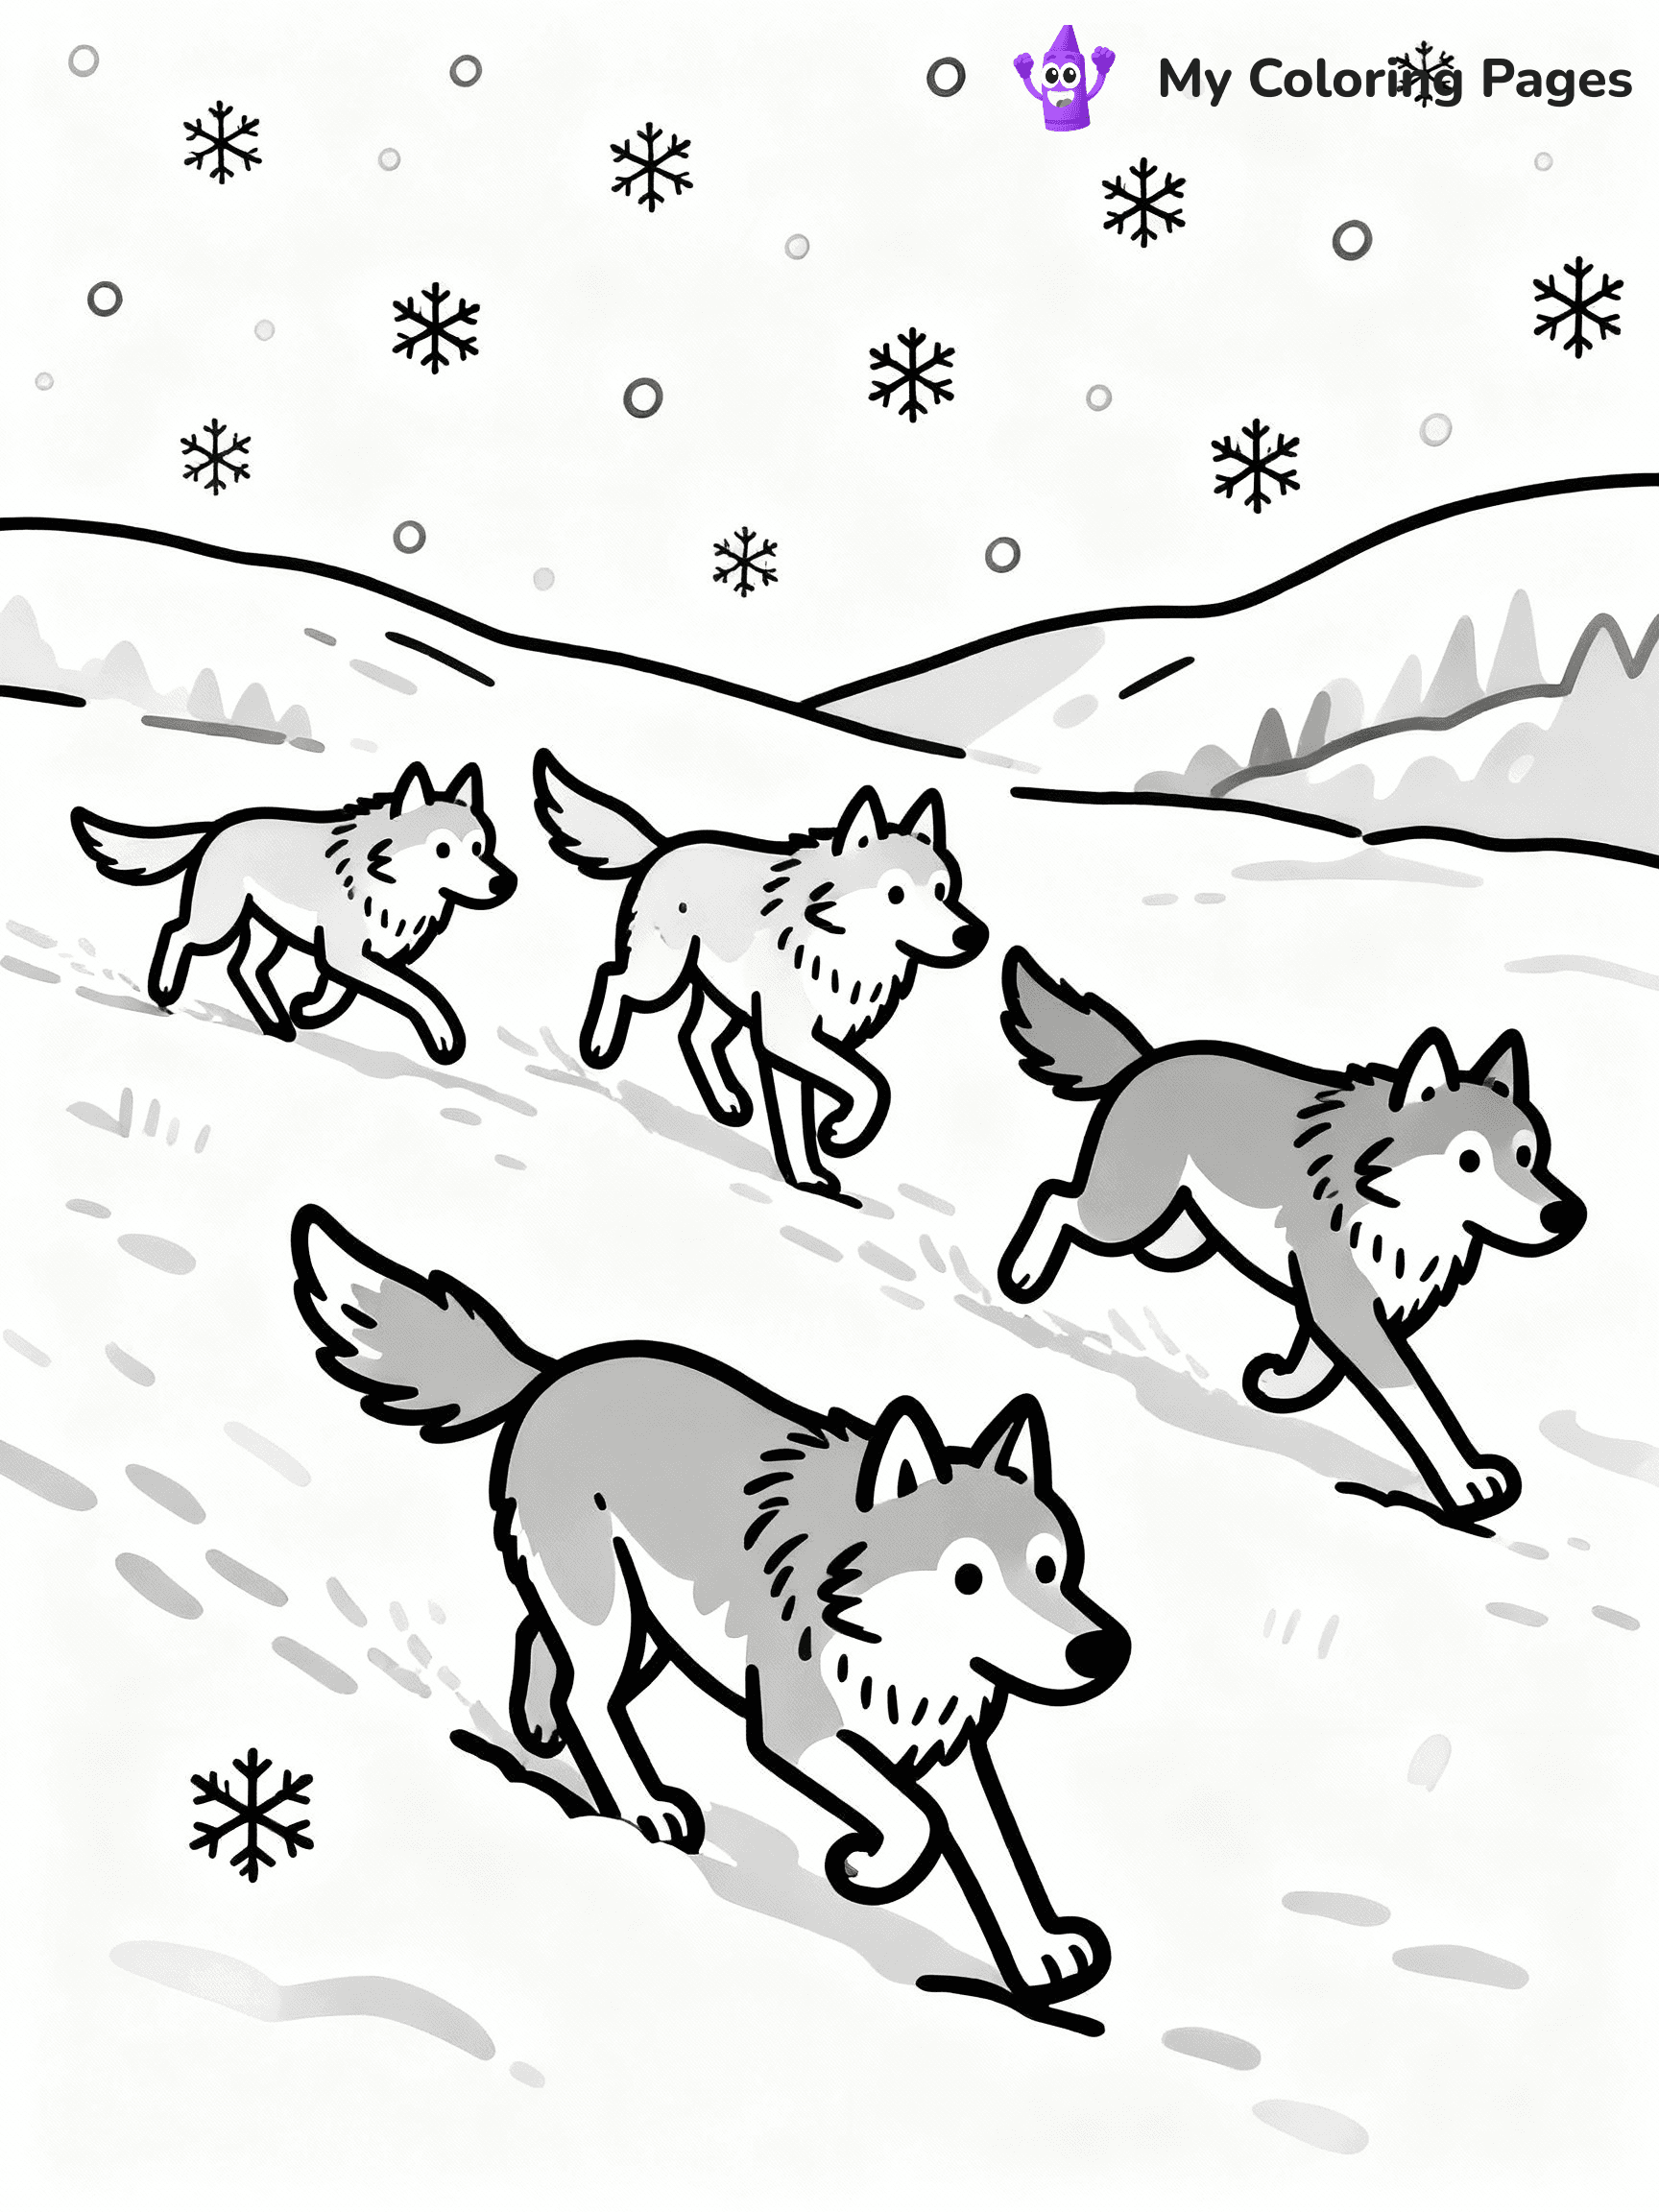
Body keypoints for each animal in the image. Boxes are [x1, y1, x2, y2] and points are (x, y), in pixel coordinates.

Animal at [71, 763, 515, 1065]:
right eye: (442, 849)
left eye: (479, 848)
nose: (503, 884)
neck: (388, 884)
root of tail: (219, 825)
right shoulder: (347, 953)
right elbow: (415, 992)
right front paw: (444, 1038)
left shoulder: (352, 954)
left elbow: (342, 990)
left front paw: (310, 1008)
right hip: (218, 923)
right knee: (177, 932)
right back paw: (164, 993)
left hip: (271, 934)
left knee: (243, 969)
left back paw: (278, 1025)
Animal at [292, 1204, 1131, 2011]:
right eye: (968, 1577)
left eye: (1052, 1568)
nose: (1102, 1651)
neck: (879, 1638)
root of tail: (560, 1370)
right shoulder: (794, 1727)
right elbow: (921, 1816)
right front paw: (874, 1868)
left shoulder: (942, 1736)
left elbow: (994, 1846)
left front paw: (1040, 1956)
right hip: (615, 1620)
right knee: (584, 1694)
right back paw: (642, 1807)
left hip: (647, 1637)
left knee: (547, 1649)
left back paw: (540, 1728)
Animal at [532, 750, 987, 1201]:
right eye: (895, 893)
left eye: (943, 892)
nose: (972, 936)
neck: (833, 947)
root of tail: (666, 846)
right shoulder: (786, 1041)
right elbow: (867, 1085)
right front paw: (832, 1141)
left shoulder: (797, 1044)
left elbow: (816, 1108)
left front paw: (813, 1172)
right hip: (660, 979)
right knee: (614, 977)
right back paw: (598, 1047)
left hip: (730, 1002)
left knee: (694, 1036)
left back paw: (729, 1103)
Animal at [998, 949, 1586, 1530]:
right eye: (1469, 1160)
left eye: (1528, 1155)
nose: (1566, 1215)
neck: (1388, 1205)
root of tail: (1148, 1059)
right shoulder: (1346, 1302)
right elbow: (1415, 1396)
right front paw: (1466, 1482)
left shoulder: (1340, 1296)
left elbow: (1316, 1350)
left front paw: (1282, 1386)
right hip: (1123, 1212)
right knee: (1056, 1197)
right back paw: (1022, 1274)